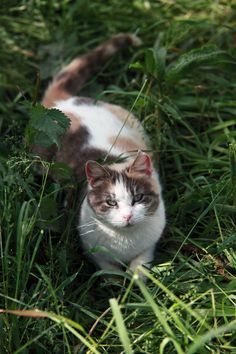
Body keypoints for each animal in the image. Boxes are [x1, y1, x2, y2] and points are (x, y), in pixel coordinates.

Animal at [40, 33, 166, 276]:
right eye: (111, 202)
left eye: (138, 198)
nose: (127, 216)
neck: (125, 241)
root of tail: (62, 103)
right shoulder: (95, 252)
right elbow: (109, 273)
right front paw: (117, 283)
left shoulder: (149, 245)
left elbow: (140, 268)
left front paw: (135, 280)